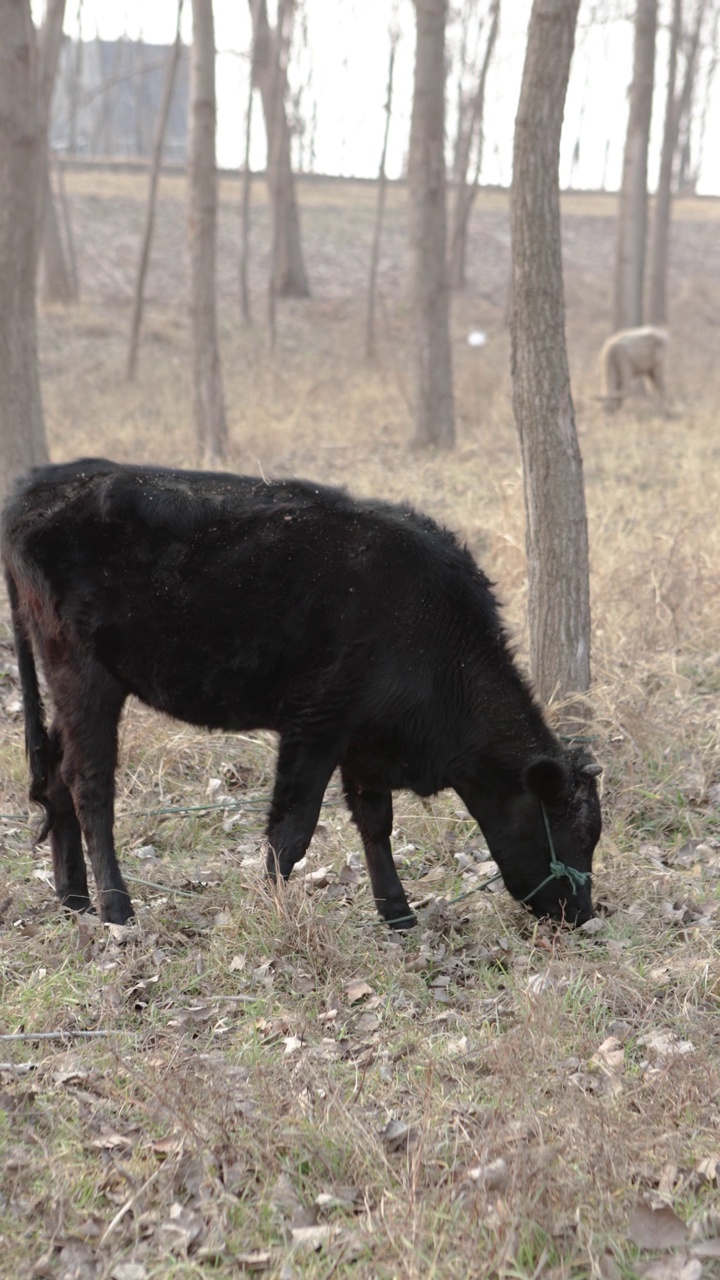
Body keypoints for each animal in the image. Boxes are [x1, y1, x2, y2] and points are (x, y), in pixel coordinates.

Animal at [1, 460, 599, 931]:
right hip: (84, 674)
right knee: (89, 786)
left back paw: (75, 900)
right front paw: (272, 910)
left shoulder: (364, 738)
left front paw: (398, 915)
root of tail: (42, 487)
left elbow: (375, 823)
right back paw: (116, 909)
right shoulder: (316, 721)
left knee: (55, 778)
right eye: (573, 833)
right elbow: (292, 830)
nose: (585, 914)